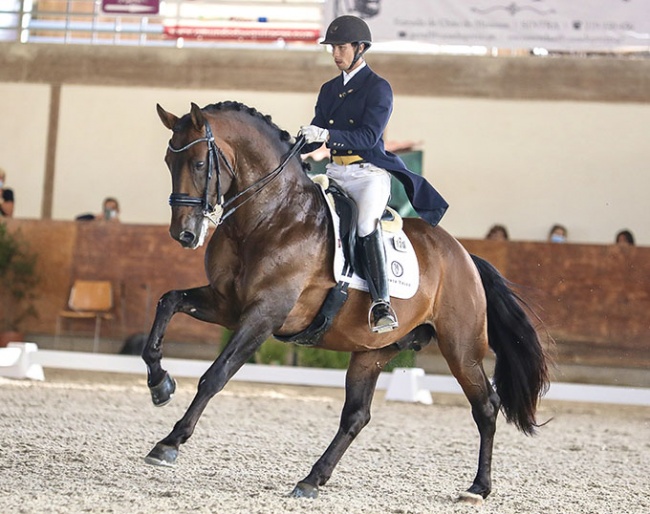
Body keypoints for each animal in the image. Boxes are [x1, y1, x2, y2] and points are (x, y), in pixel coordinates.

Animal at [140, 99, 548, 500]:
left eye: (198, 163)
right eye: (168, 161)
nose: (184, 234)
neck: (270, 216)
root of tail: (465, 256)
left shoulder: (265, 314)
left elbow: (215, 375)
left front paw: (169, 443)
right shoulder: (227, 304)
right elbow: (167, 302)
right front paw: (160, 385)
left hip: (461, 348)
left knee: (486, 406)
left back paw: (478, 487)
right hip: (373, 351)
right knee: (356, 415)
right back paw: (311, 479)